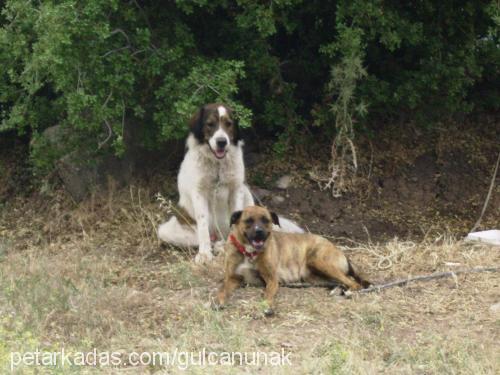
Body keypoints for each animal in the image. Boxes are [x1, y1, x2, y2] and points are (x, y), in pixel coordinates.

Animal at [158, 103, 302, 264]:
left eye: (228, 124)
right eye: (210, 124)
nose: (222, 142)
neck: (218, 165)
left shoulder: (236, 190)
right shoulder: (199, 193)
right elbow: (203, 225)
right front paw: (204, 254)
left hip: (246, 193)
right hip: (166, 231)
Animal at [217, 207, 370, 316]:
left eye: (266, 220)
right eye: (248, 220)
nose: (259, 231)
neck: (249, 252)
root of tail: (339, 250)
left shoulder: (272, 279)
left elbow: (267, 294)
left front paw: (267, 306)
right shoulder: (232, 278)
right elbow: (222, 290)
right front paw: (219, 301)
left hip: (319, 261)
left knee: (353, 283)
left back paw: (349, 292)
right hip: (313, 277)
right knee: (339, 282)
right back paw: (338, 290)